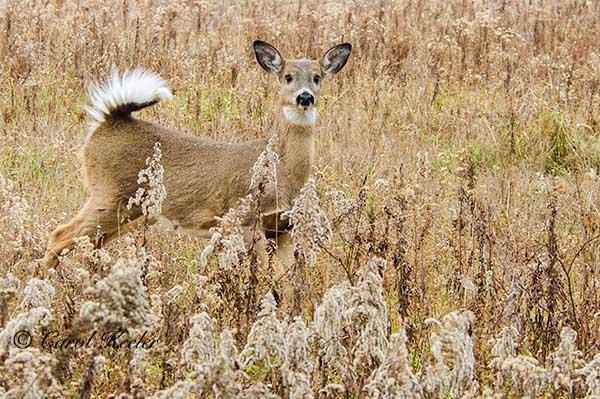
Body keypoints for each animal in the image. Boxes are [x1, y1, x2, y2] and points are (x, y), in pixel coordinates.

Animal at [43, 40, 352, 268]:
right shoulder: (245, 218)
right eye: (287, 76)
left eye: (317, 77)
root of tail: (108, 121)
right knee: (60, 235)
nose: (305, 97)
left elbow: (285, 282)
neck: (282, 169)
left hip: (128, 210)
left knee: (87, 244)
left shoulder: (282, 227)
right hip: (109, 196)